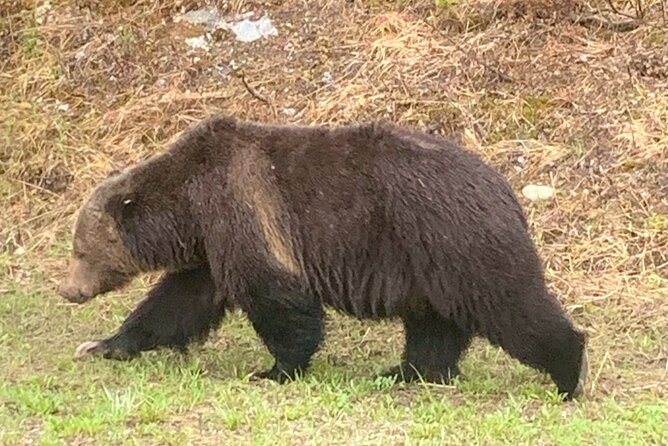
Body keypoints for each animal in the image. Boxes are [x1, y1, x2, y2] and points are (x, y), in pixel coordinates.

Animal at [58, 115, 588, 400]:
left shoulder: (244, 210)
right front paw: (105, 344)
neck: (187, 206)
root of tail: (504, 188)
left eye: (80, 249)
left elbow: (276, 299)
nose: (67, 289)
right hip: (428, 264)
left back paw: (567, 371)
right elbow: (179, 303)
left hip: (454, 239)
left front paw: (275, 370)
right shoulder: (210, 247)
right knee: (433, 325)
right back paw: (406, 371)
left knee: (510, 305)